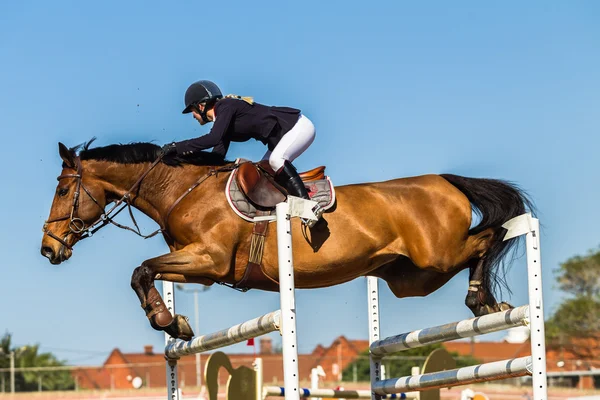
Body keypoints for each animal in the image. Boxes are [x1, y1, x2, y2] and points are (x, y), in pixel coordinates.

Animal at [38, 139, 536, 340]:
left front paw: (168, 321)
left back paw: (483, 301)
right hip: (409, 278)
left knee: (489, 237)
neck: (185, 190)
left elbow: (141, 269)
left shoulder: (209, 259)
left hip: (436, 256)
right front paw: (175, 322)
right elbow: (143, 273)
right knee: (478, 244)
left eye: (62, 191)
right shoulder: (199, 265)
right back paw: (487, 303)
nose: (49, 248)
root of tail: (444, 180)